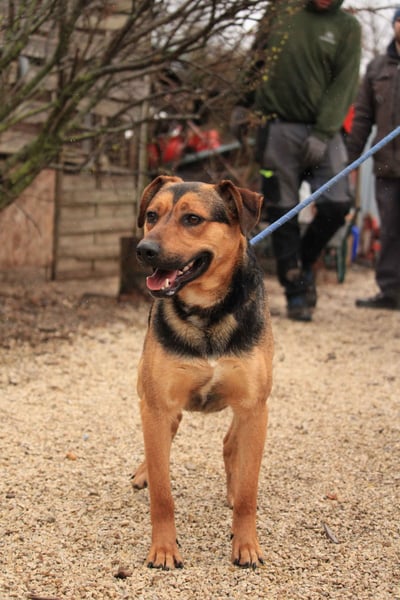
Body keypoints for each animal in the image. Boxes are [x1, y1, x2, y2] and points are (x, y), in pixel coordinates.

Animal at [132, 175, 273, 569]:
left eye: (192, 219)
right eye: (152, 215)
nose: (144, 250)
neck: (206, 313)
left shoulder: (254, 408)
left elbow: (249, 493)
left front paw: (246, 545)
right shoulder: (158, 406)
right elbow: (162, 494)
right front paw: (164, 549)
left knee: (230, 444)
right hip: (147, 392)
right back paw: (144, 471)